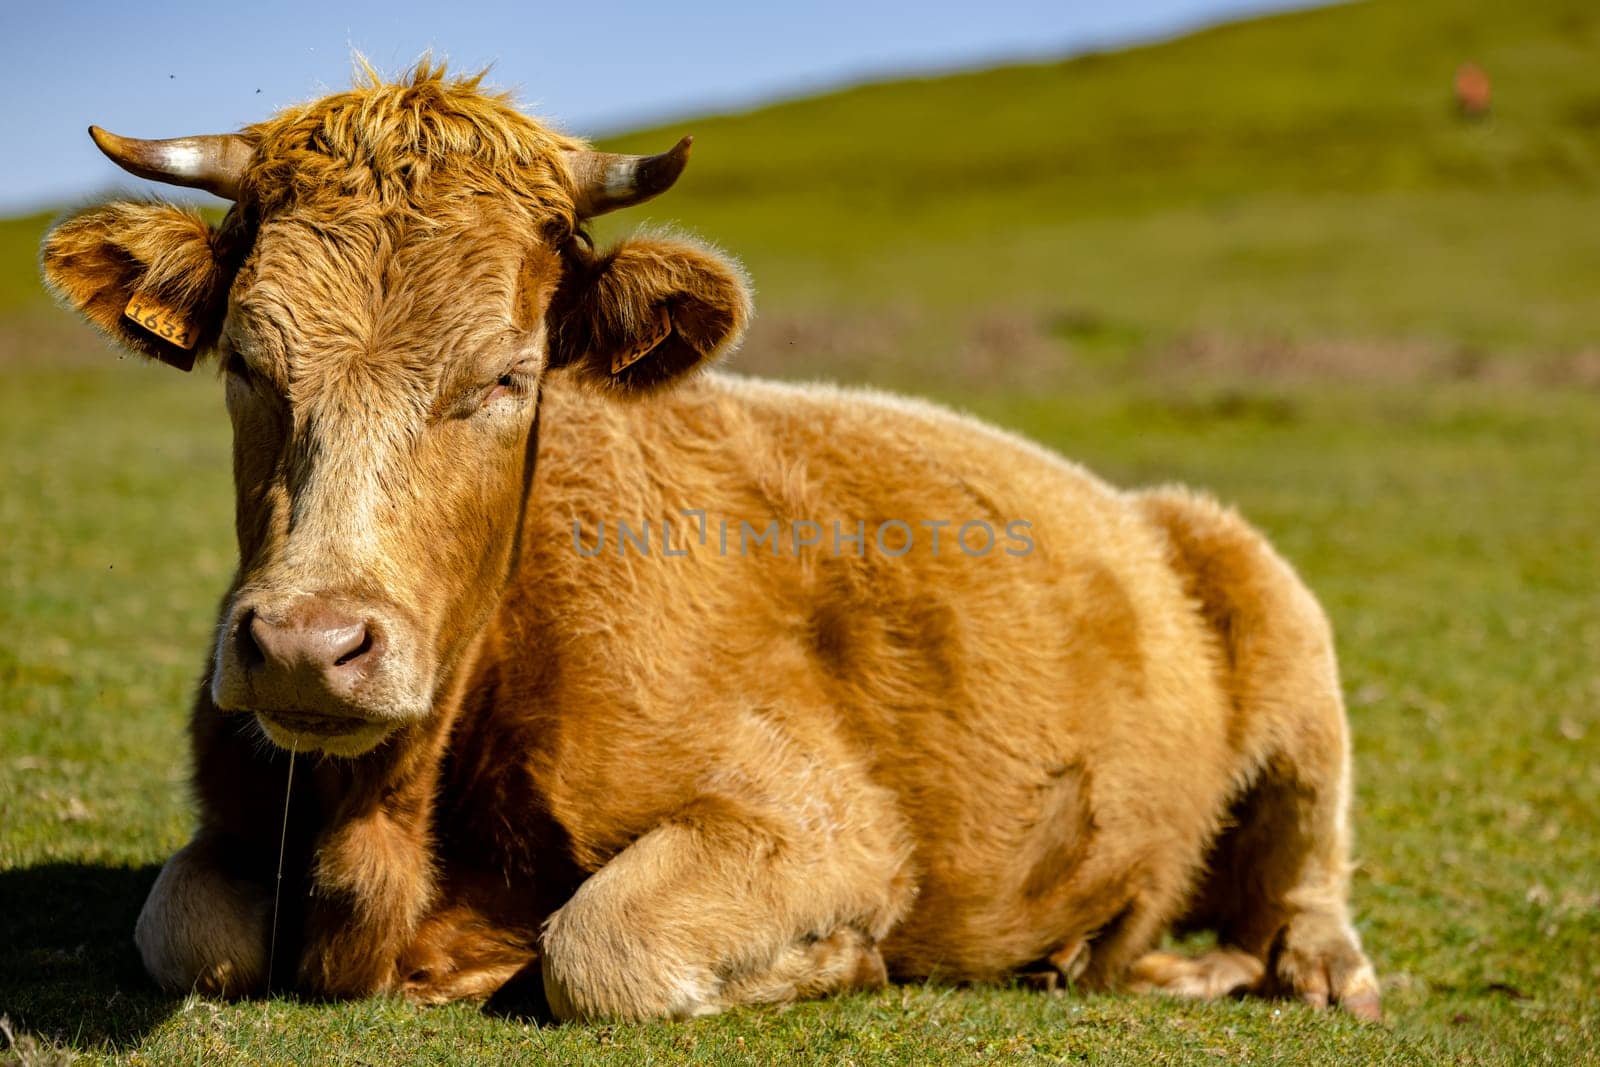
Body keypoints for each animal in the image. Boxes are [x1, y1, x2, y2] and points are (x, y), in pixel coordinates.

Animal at [43, 62, 1382, 1023]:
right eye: (246, 362)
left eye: (508, 374)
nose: (308, 645)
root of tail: (1145, 504)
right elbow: (185, 927)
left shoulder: (824, 823)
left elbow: (605, 947)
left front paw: (843, 960)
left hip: (1281, 623)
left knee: (1305, 874)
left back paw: (1280, 969)